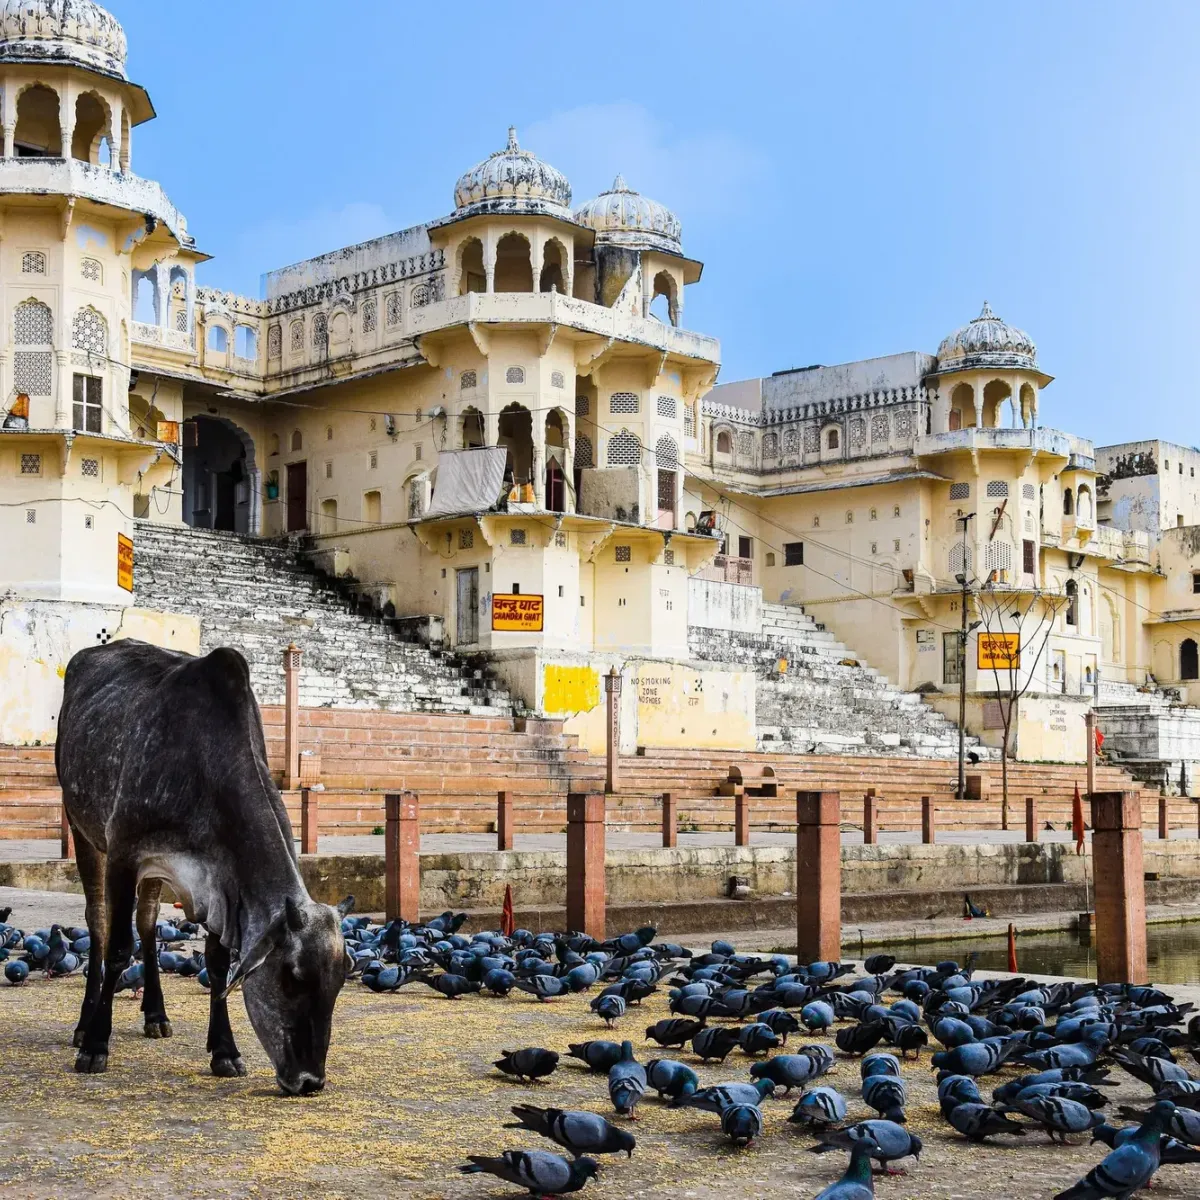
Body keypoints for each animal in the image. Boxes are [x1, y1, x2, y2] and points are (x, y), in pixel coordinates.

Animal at [55, 639, 345, 1095]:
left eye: (340, 981)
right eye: (291, 976)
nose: (310, 1080)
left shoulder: (218, 882)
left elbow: (218, 963)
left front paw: (224, 1051)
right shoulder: (123, 854)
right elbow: (117, 949)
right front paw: (96, 1046)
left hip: (155, 874)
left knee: (147, 923)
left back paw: (156, 1016)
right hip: (82, 828)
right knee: (99, 924)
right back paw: (85, 1025)